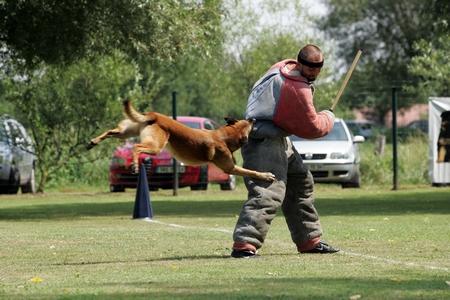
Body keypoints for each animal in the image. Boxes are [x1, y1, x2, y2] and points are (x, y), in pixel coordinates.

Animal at [86, 99, 276, 182]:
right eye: (248, 124)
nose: (253, 119)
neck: (224, 136)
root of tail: (155, 116)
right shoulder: (229, 168)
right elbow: (251, 171)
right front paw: (266, 176)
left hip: (127, 131)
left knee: (111, 131)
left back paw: (92, 142)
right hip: (155, 145)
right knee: (137, 147)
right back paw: (134, 165)